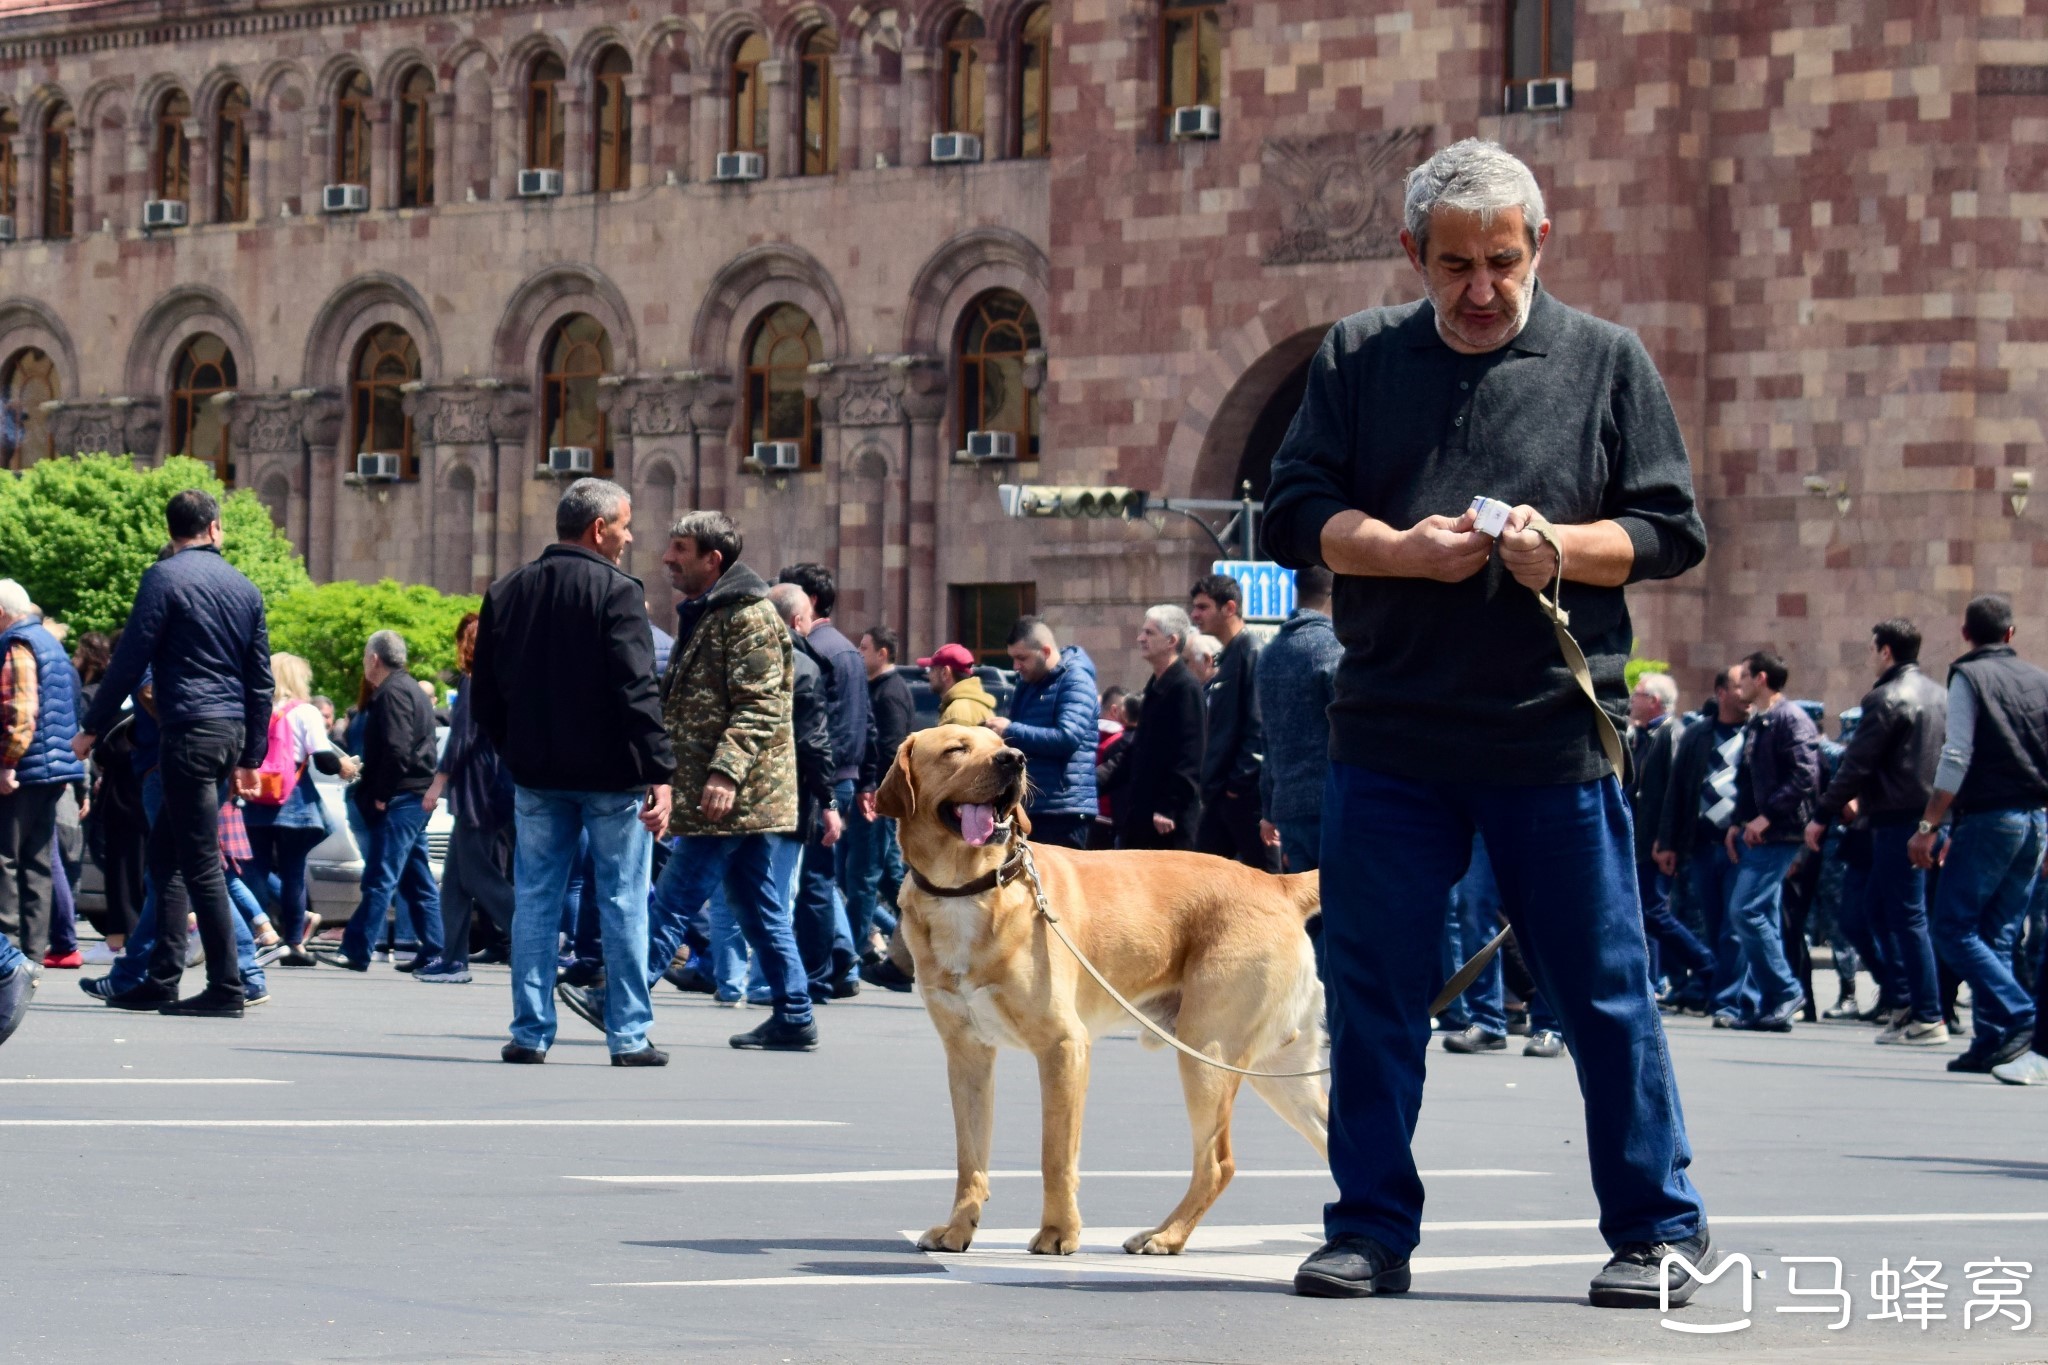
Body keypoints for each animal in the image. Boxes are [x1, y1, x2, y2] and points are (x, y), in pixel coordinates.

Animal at [876, 724, 1327, 1260]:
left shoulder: (1064, 1046)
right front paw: (959, 1229)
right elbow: (971, 1157)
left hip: (1207, 1052)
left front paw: (1058, 1233)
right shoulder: (966, 1054)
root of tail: (1277, 883)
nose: (1015, 759)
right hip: (1277, 1069)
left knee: (1217, 1164)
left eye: (999, 741)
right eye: (956, 749)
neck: (971, 888)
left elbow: (1055, 1155)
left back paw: (1167, 1236)